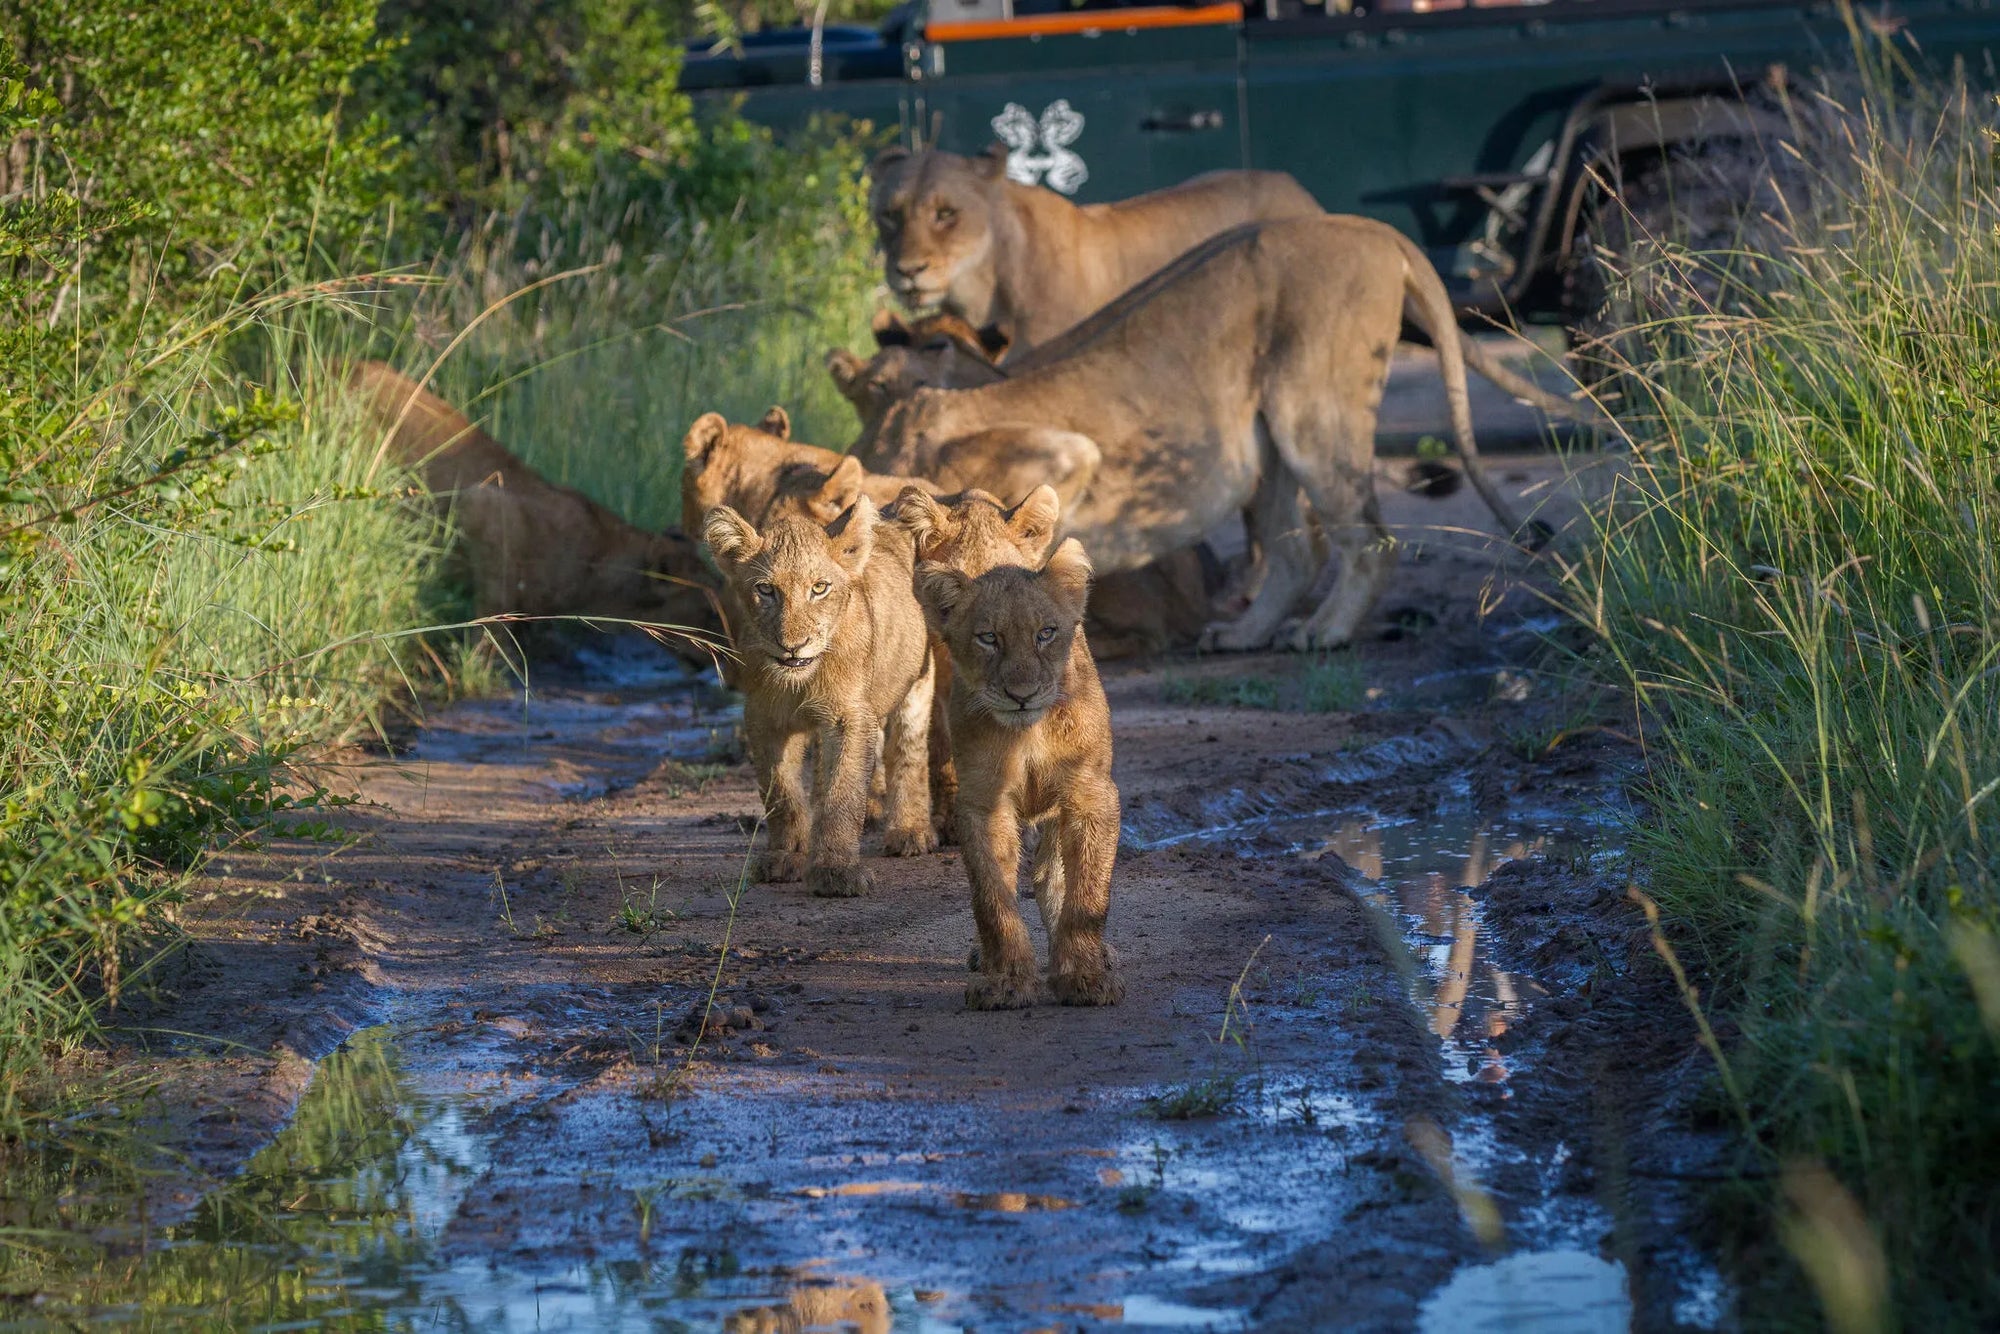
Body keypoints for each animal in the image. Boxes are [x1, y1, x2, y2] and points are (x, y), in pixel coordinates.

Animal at [702, 497, 936, 897]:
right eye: (766, 590)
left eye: (820, 588)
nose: (792, 646)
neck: (801, 681)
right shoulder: (763, 717)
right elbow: (780, 791)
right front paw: (785, 856)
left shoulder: (849, 716)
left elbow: (843, 793)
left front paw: (835, 870)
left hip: (916, 685)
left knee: (908, 752)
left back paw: (910, 831)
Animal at [853, 215, 1573, 654]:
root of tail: (1373, 228)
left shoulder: (1062, 460)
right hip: (1268, 445)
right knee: (1298, 549)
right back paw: (1248, 633)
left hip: (1317, 415)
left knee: (1368, 538)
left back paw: (1326, 632)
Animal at [915, 536, 1123, 1009]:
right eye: (989, 638)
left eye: (1045, 633)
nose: (1021, 695)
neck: (1027, 733)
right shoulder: (983, 802)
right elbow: (992, 897)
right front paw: (1006, 981)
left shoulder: (1090, 794)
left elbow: (1086, 892)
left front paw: (1084, 976)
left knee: (1051, 878)